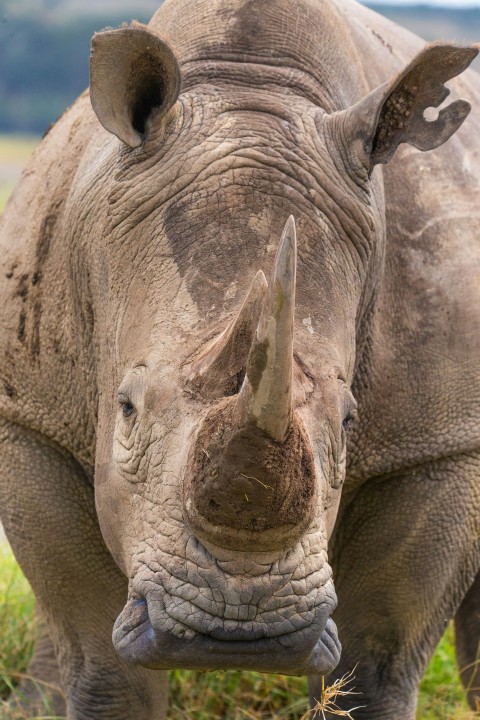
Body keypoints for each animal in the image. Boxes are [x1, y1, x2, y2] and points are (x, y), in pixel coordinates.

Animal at [1, 0, 479, 717]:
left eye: (349, 422)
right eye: (126, 409)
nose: (236, 632)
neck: (251, 89)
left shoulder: (440, 438)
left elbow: (375, 665)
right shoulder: (31, 413)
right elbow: (104, 667)